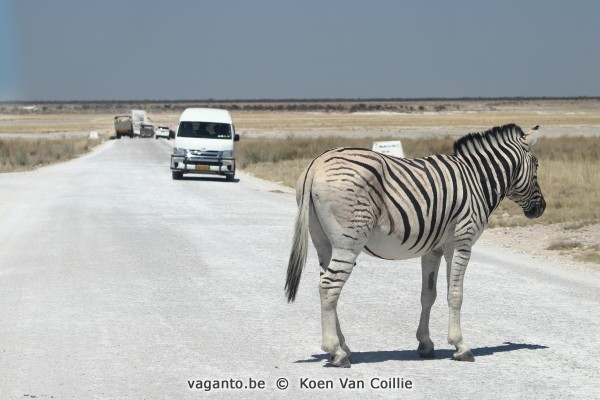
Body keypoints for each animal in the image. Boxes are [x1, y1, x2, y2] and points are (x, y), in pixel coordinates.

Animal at [284, 123, 544, 368]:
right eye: (537, 165)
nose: (541, 209)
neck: (477, 181)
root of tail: (316, 164)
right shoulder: (460, 241)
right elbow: (455, 294)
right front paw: (460, 346)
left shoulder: (432, 250)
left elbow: (428, 294)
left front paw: (425, 344)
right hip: (348, 241)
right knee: (329, 286)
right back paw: (336, 352)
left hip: (323, 242)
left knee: (326, 285)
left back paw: (343, 347)